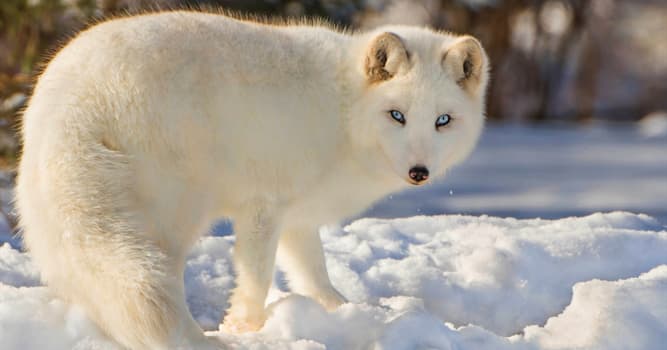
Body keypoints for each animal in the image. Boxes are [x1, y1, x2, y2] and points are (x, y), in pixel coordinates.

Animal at [14, 9, 490, 348]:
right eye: (397, 116)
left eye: (443, 121)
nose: (419, 172)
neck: (343, 109)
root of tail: (72, 103)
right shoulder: (263, 206)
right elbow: (258, 277)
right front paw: (245, 327)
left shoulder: (300, 216)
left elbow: (314, 273)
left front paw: (341, 313)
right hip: (177, 217)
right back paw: (196, 339)